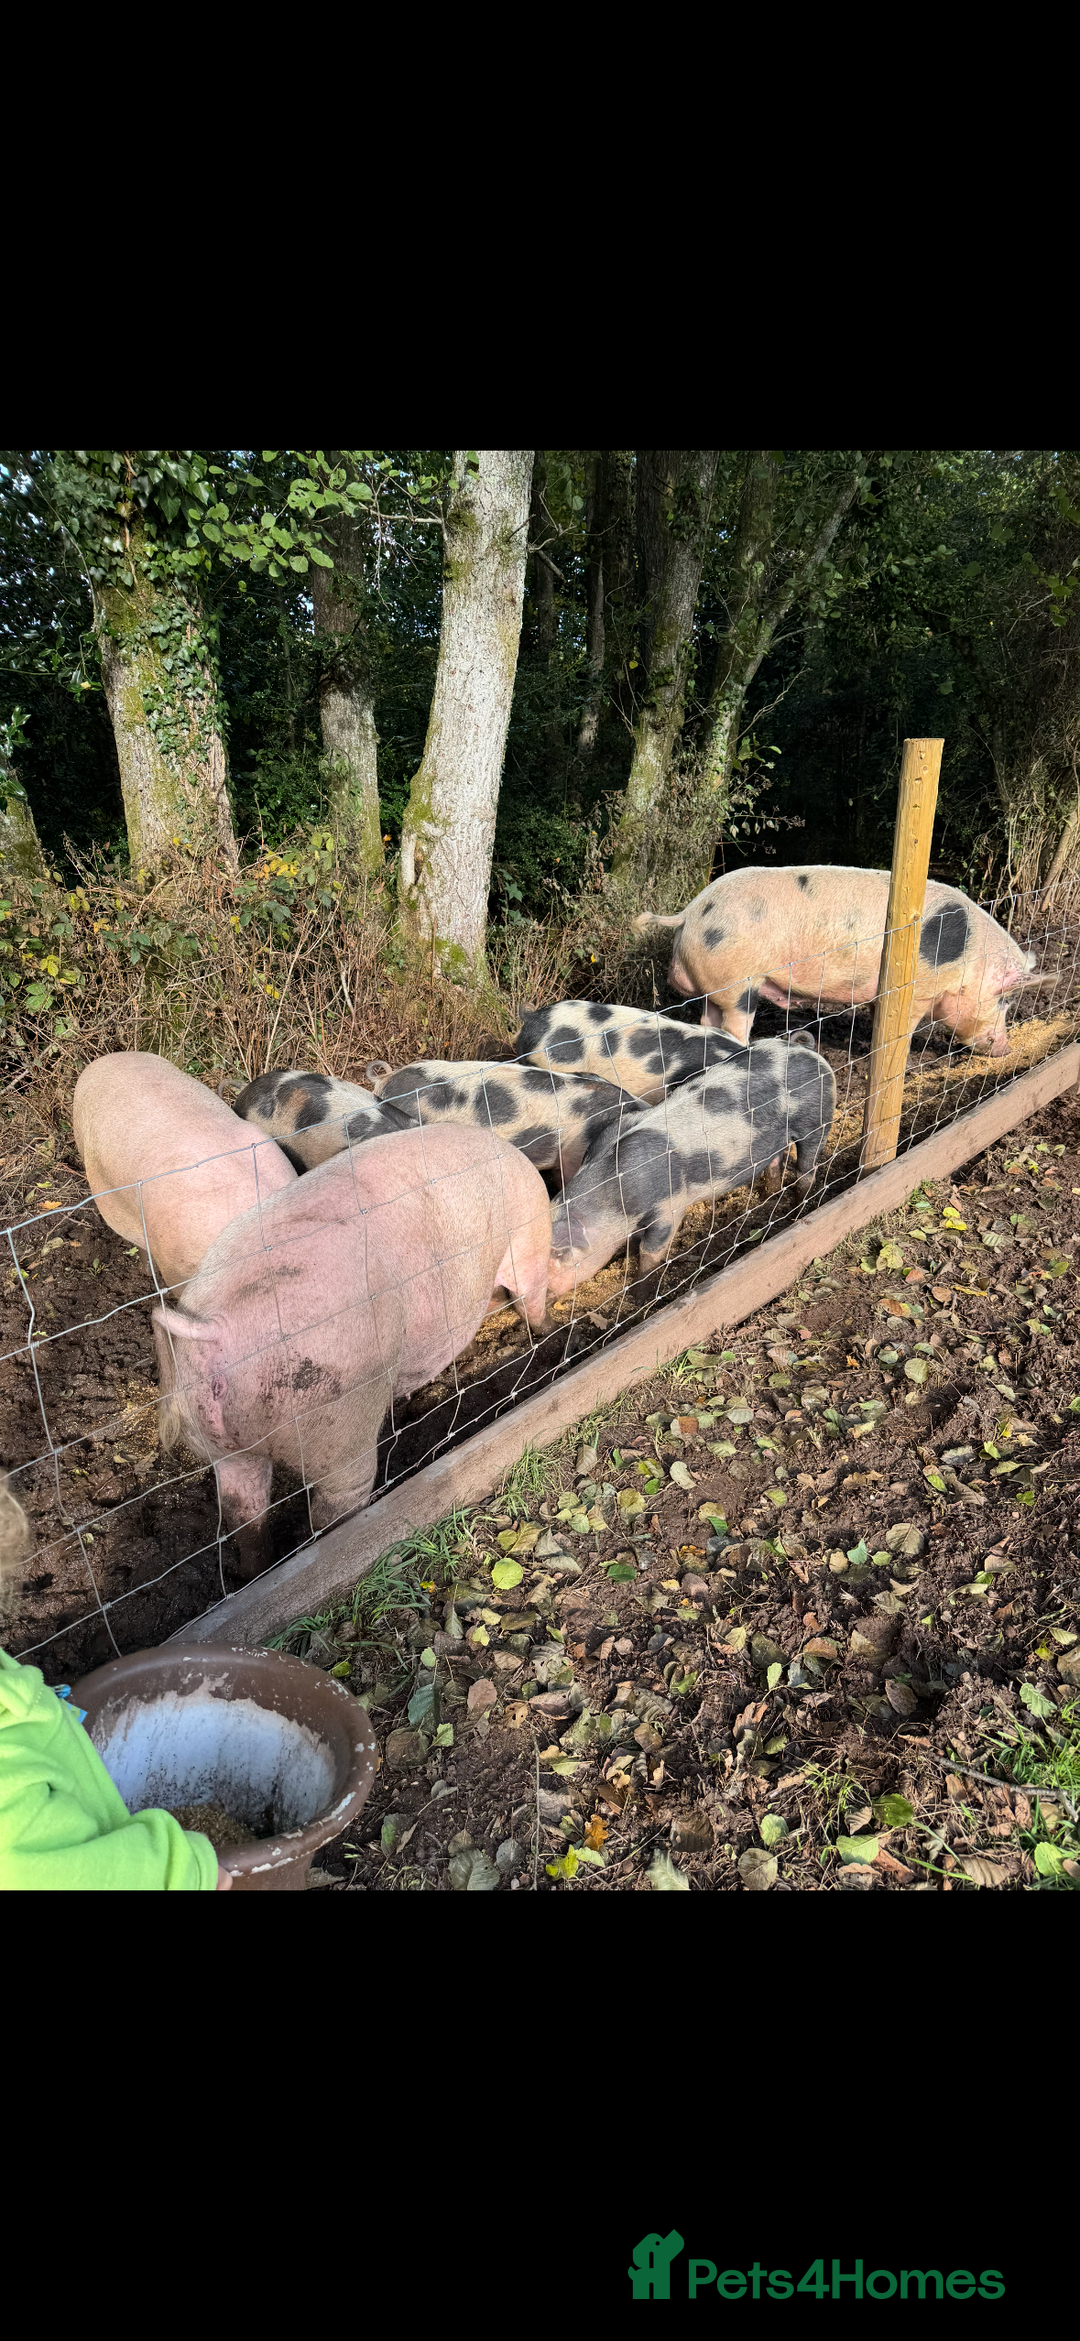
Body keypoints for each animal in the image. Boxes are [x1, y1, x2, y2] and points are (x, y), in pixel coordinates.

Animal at [151, 1124, 552, 1568]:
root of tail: (215, 1328)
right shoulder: (528, 1241)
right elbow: (531, 1297)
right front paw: (549, 1330)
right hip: (341, 1423)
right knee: (333, 1507)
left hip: (220, 1443)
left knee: (243, 1514)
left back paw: (257, 1569)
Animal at [545, 1035, 836, 1294]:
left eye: (554, 1261)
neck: (615, 1192)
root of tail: (803, 1049)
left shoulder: (670, 1205)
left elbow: (652, 1251)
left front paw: (639, 1295)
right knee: (775, 1162)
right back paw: (768, 1196)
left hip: (816, 1118)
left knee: (807, 1168)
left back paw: (797, 1210)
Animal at [634, 867, 1038, 1055]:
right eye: (1005, 999)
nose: (1006, 1048)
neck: (972, 959)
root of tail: (690, 912)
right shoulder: (918, 990)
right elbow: (906, 1027)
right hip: (739, 983)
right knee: (734, 1025)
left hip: (716, 987)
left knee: (708, 1022)